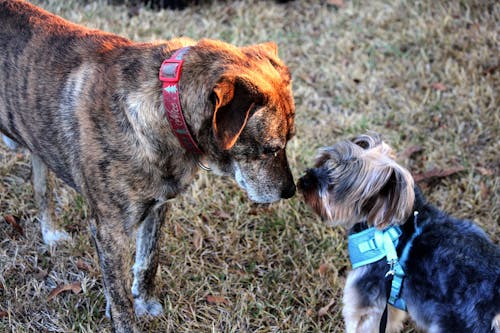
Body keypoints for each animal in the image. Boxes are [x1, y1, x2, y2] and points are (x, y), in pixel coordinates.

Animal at [0, 1, 296, 330]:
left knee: (42, 185)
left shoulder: (157, 207)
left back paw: (51, 233)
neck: (166, 104)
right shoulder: (110, 230)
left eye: (290, 139)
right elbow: (118, 296)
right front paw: (126, 321)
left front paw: (144, 300)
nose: (291, 191)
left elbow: (148, 260)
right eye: (270, 149)